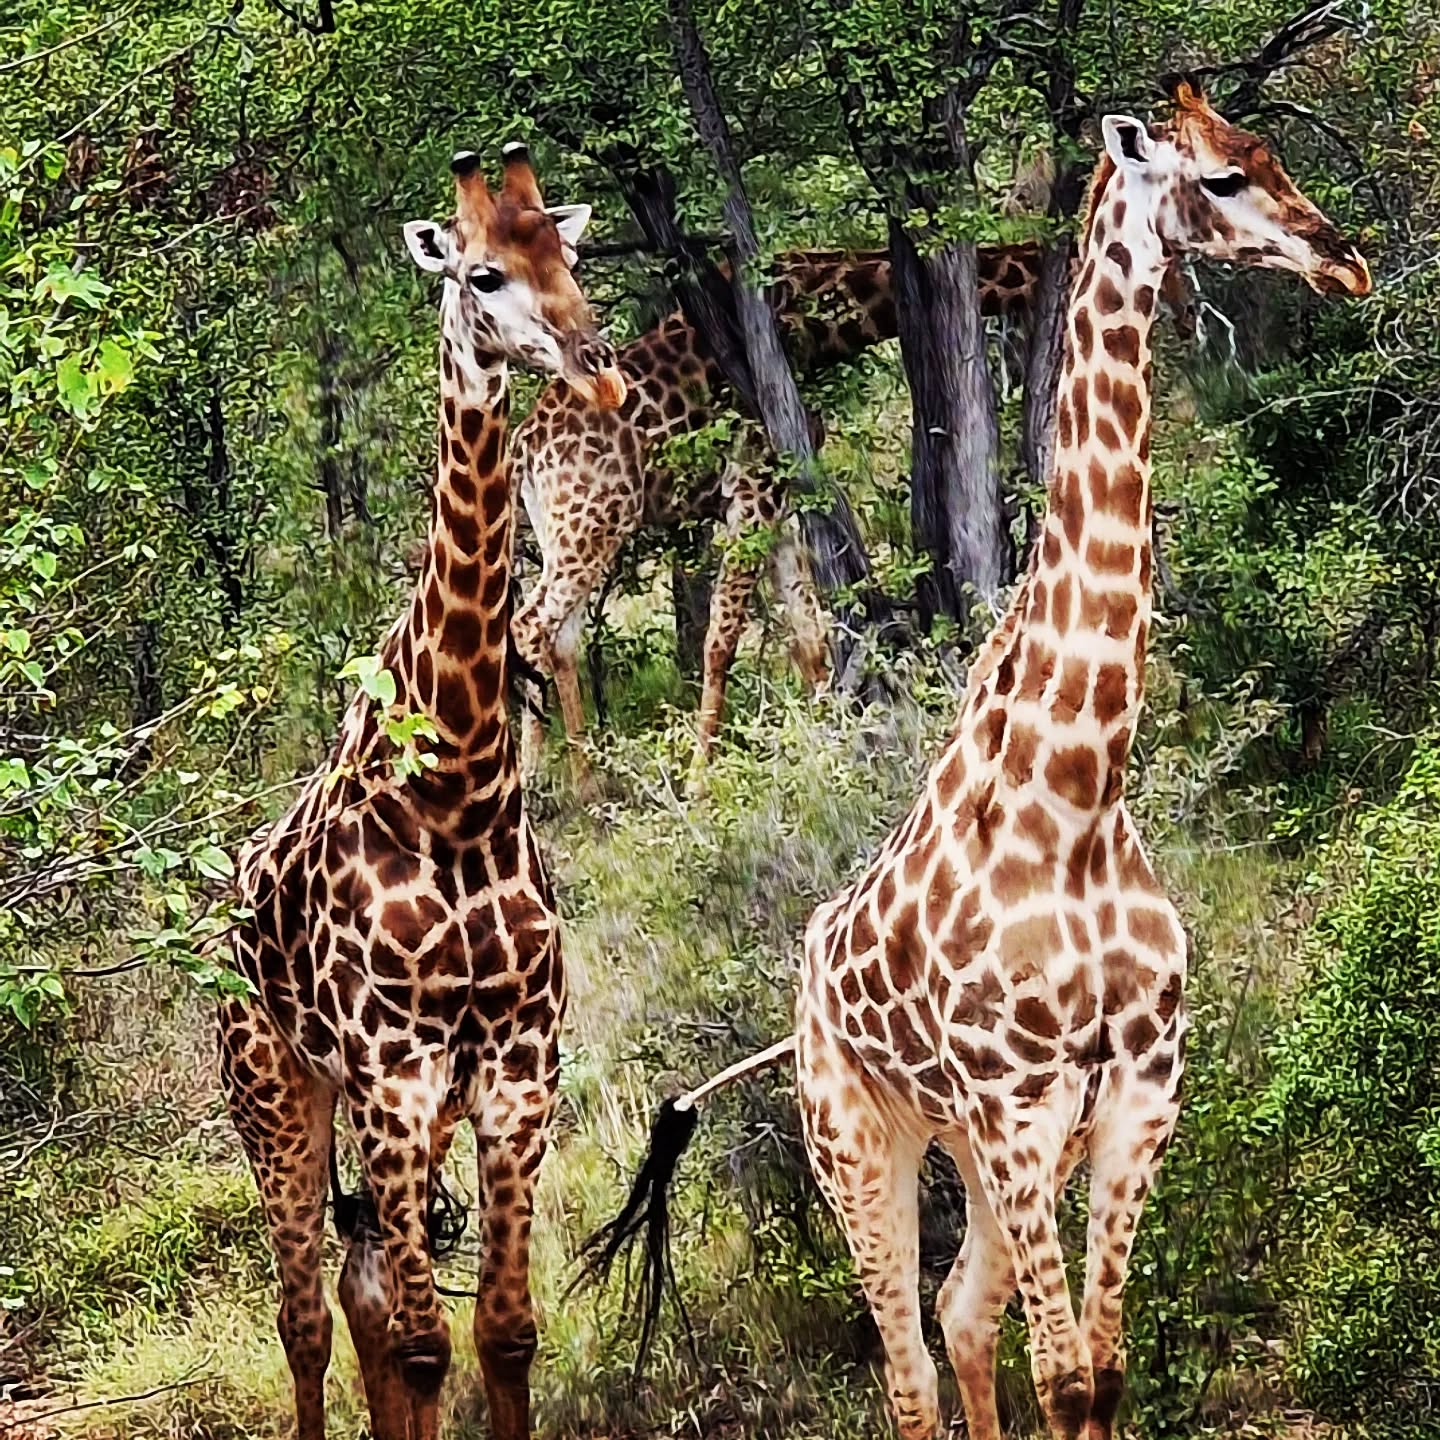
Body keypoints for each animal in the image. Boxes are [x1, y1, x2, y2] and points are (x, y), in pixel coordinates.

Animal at [218, 146, 626, 1440]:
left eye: (572, 253)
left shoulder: (513, 1071)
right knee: (304, 1314)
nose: (593, 363)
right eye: (484, 273)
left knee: (357, 1293)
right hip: (279, 1095)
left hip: (396, 1109)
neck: (459, 793)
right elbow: (425, 1343)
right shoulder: (393, 1073)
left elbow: (501, 1333)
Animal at [582, 85, 1370, 1439]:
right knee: (905, 1366)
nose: (1343, 260)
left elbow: (1099, 1371)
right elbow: (1066, 1374)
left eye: (1269, 155)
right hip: (859, 1138)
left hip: (969, 1143)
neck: (1082, 790)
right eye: (1220, 178)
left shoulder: (1134, 1096)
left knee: (959, 1318)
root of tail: (797, 990)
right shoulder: (1014, 1102)